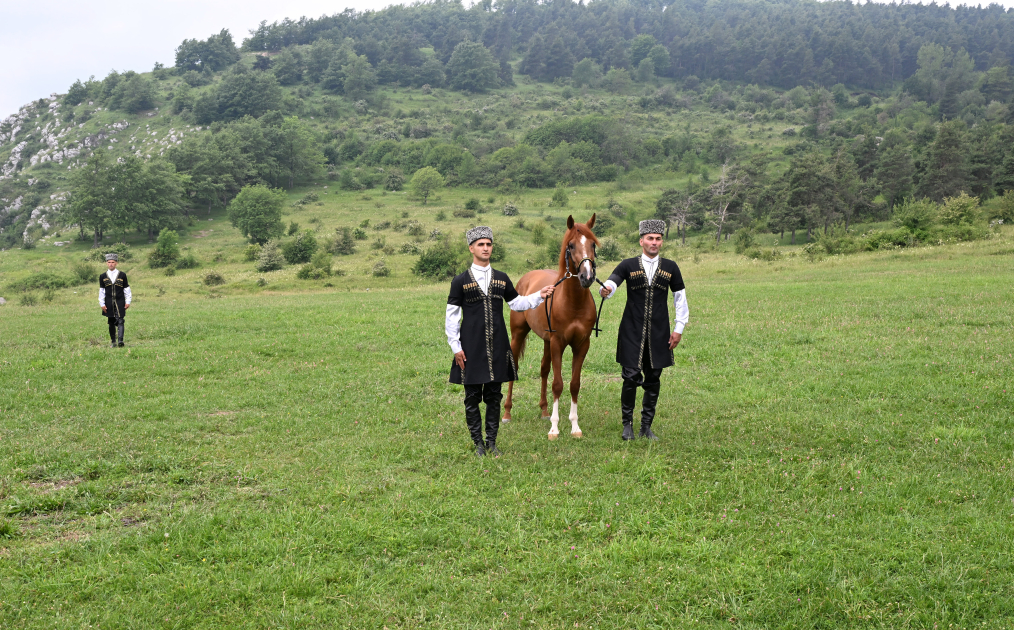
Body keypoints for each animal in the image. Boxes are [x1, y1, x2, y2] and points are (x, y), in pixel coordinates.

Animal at [503, 214, 600, 440]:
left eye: (592, 244)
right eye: (571, 246)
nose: (587, 277)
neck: (573, 303)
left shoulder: (581, 345)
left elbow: (574, 384)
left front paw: (574, 426)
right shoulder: (558, 343)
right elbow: (558, 385)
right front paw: (554, 429)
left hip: (547, 341)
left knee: (544, 369)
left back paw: (545, 411)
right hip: (518, 335)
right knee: (516, 368)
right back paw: (507, 413)